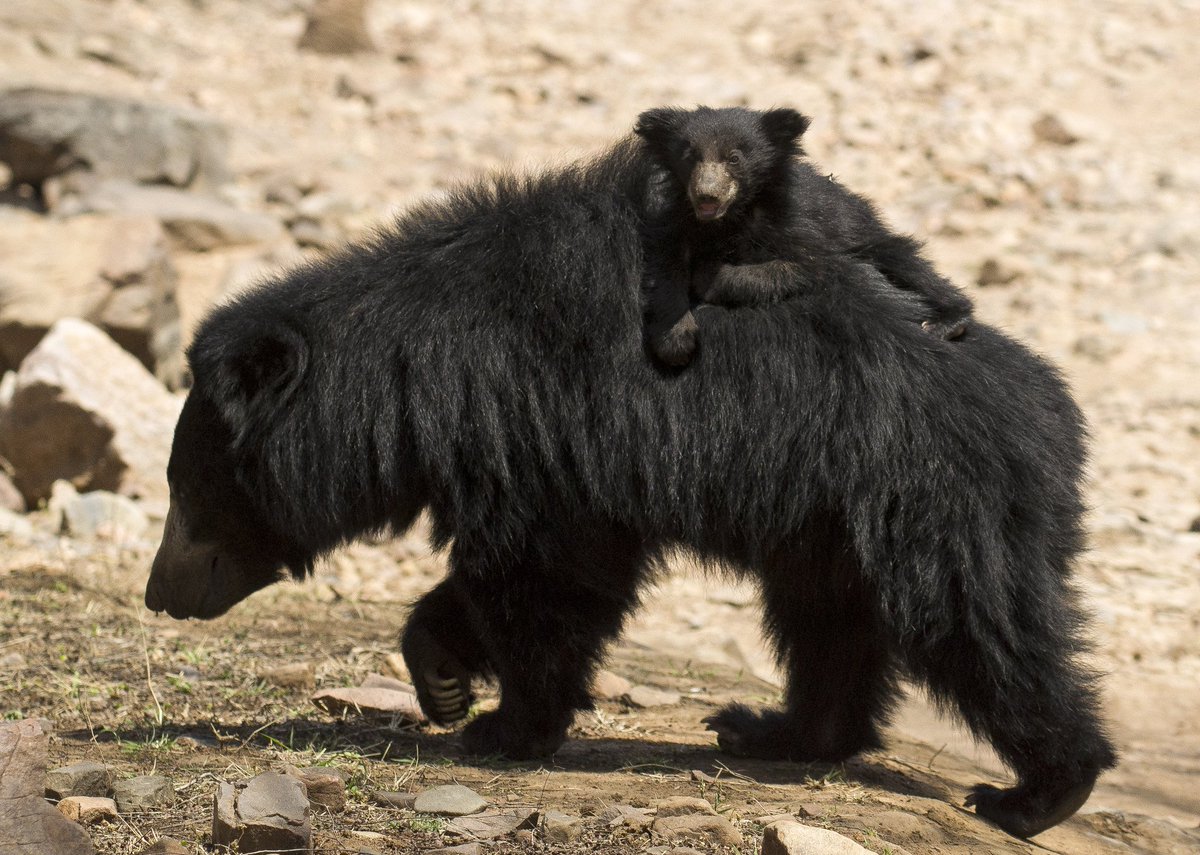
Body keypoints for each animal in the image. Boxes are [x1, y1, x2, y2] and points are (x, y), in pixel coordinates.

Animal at [635, 105, 973, 366]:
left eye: (734, 158)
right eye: (690, 155)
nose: (707, 195)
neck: (730, 218)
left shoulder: (797, 222)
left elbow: (804, 266)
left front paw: (708, 276)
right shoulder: (679, 221)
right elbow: (666, 265)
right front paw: (675, 341)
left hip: (872, 238)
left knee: (910, 264)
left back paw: (948, 320)